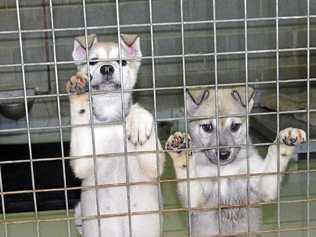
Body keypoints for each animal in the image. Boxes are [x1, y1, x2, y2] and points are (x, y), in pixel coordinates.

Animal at [165, 87, 306, 237]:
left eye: (235, 126)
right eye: (207, 127)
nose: (223, 154)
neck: (225, 169)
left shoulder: (264, 186)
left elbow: (274, 153)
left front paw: (286, 141)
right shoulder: (196, 201)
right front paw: (181, 151)